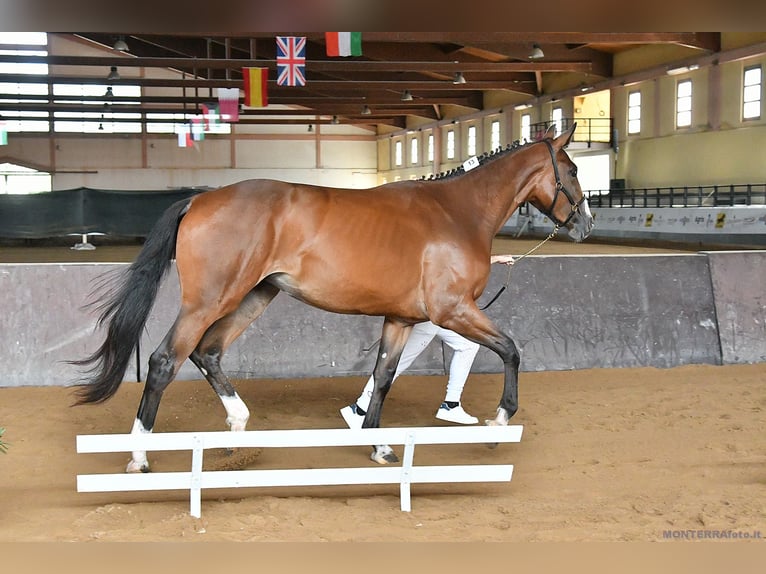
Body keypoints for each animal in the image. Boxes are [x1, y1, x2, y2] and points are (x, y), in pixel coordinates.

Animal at [72, 123, 593, 472]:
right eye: (571, 169)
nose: (585, 226)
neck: (457, 212)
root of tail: (199, 199)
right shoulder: (455, 311)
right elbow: (511, 350)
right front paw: (499, 423)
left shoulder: (401, 320)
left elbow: (383, 377)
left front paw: (379, 445)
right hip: (209, 301)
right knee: (165, 361)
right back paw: (140, 457)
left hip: (254, 297)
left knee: (208, 352)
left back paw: (236, 430)